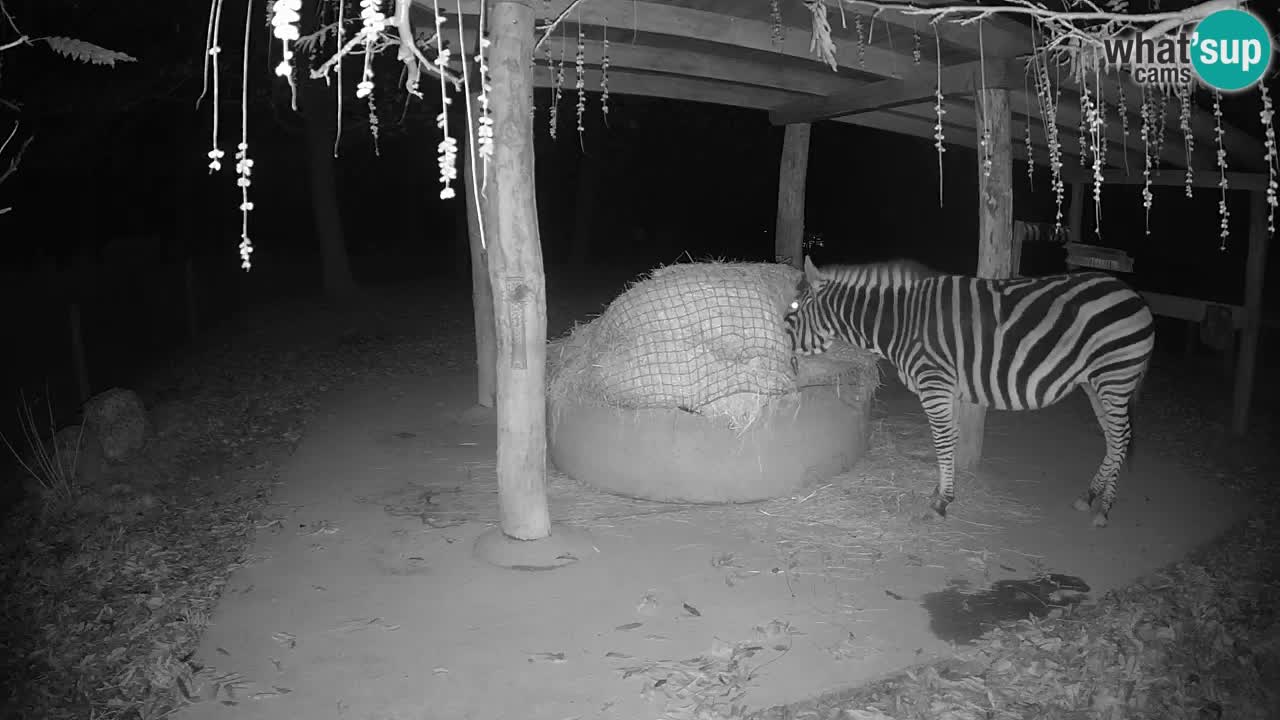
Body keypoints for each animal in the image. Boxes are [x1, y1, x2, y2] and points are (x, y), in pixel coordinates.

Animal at [783, 254, 1157, 525]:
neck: (901, 323)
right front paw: (940, 491)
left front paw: (940, 503)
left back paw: (1104, 508)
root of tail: (1132, 294)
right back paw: (1089, 496)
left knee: (1120, 437)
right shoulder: (949, 390)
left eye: (794, 308)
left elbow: (942, 441)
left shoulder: (935, 384)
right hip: (1093, 383)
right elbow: (950, 440)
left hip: (1114, 378)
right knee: (1113, 438)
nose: (785, 358)